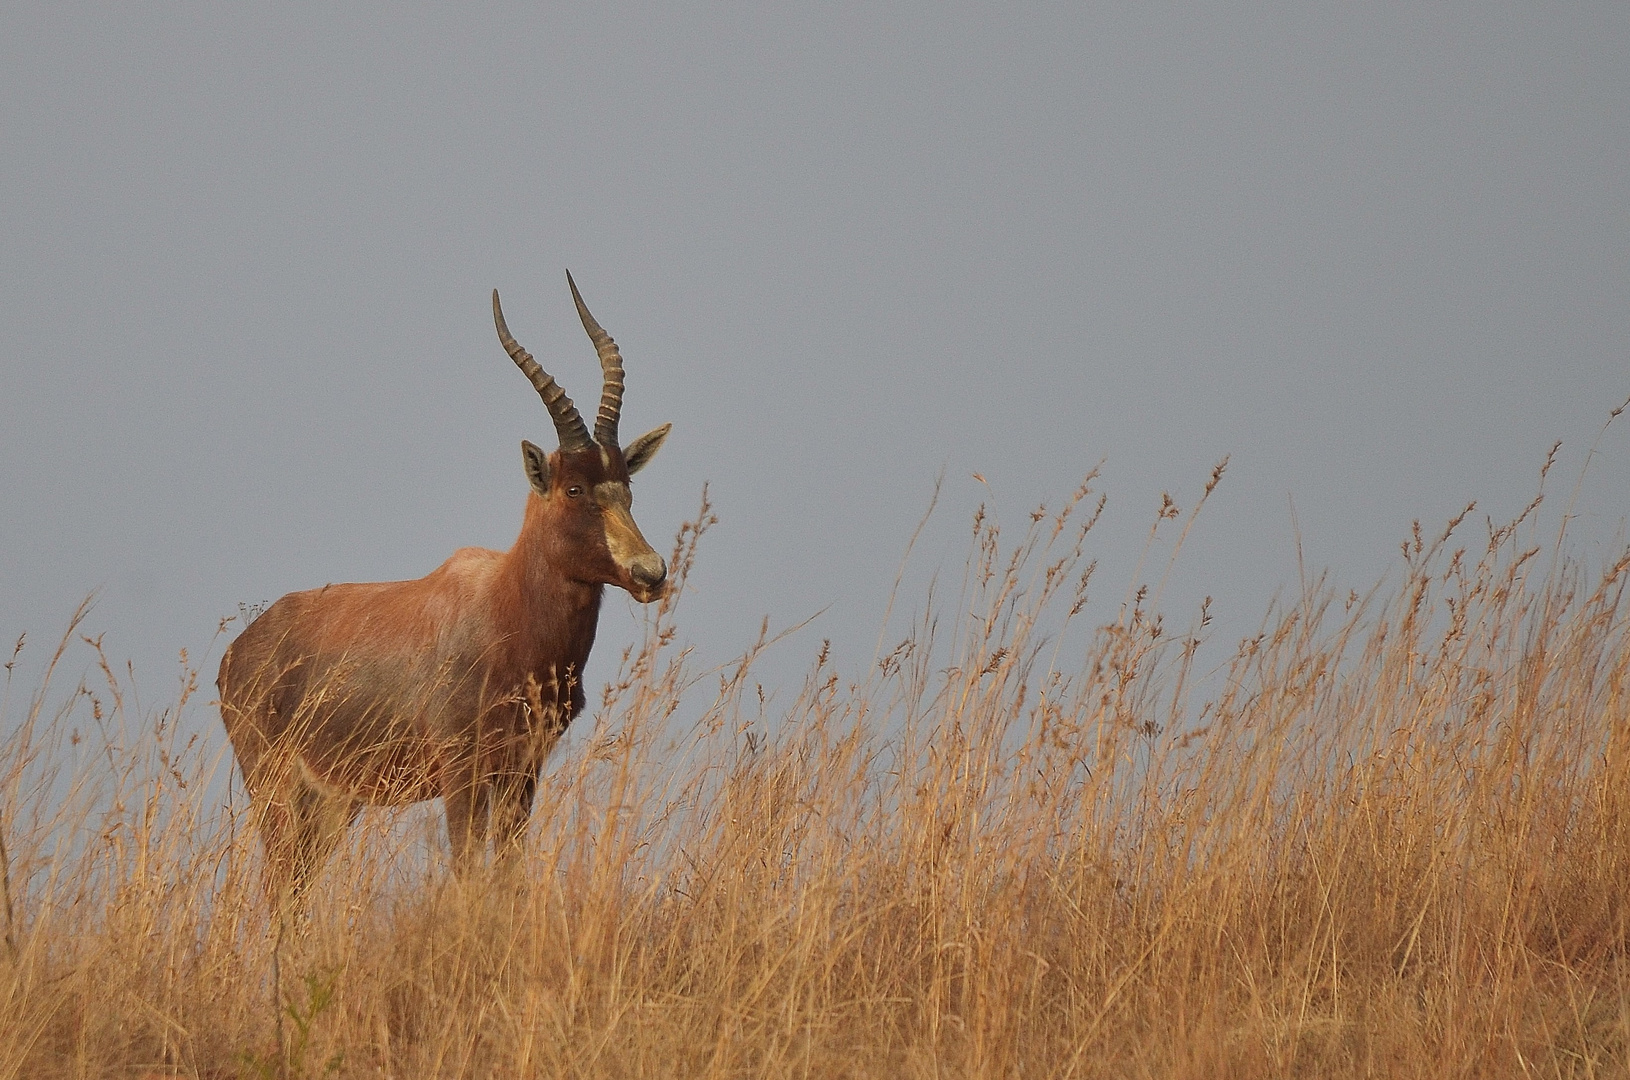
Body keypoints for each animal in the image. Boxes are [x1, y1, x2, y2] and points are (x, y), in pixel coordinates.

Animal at [218, 275, 668, 899]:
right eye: (574, 488)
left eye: (626, 484)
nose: (650, 572)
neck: (505, 604)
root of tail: (238, 651)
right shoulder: (461, 772)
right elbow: (465, 869)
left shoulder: (522, 773)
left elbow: (507, 873)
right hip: (278, 787)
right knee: (279, 883)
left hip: (333, 804)